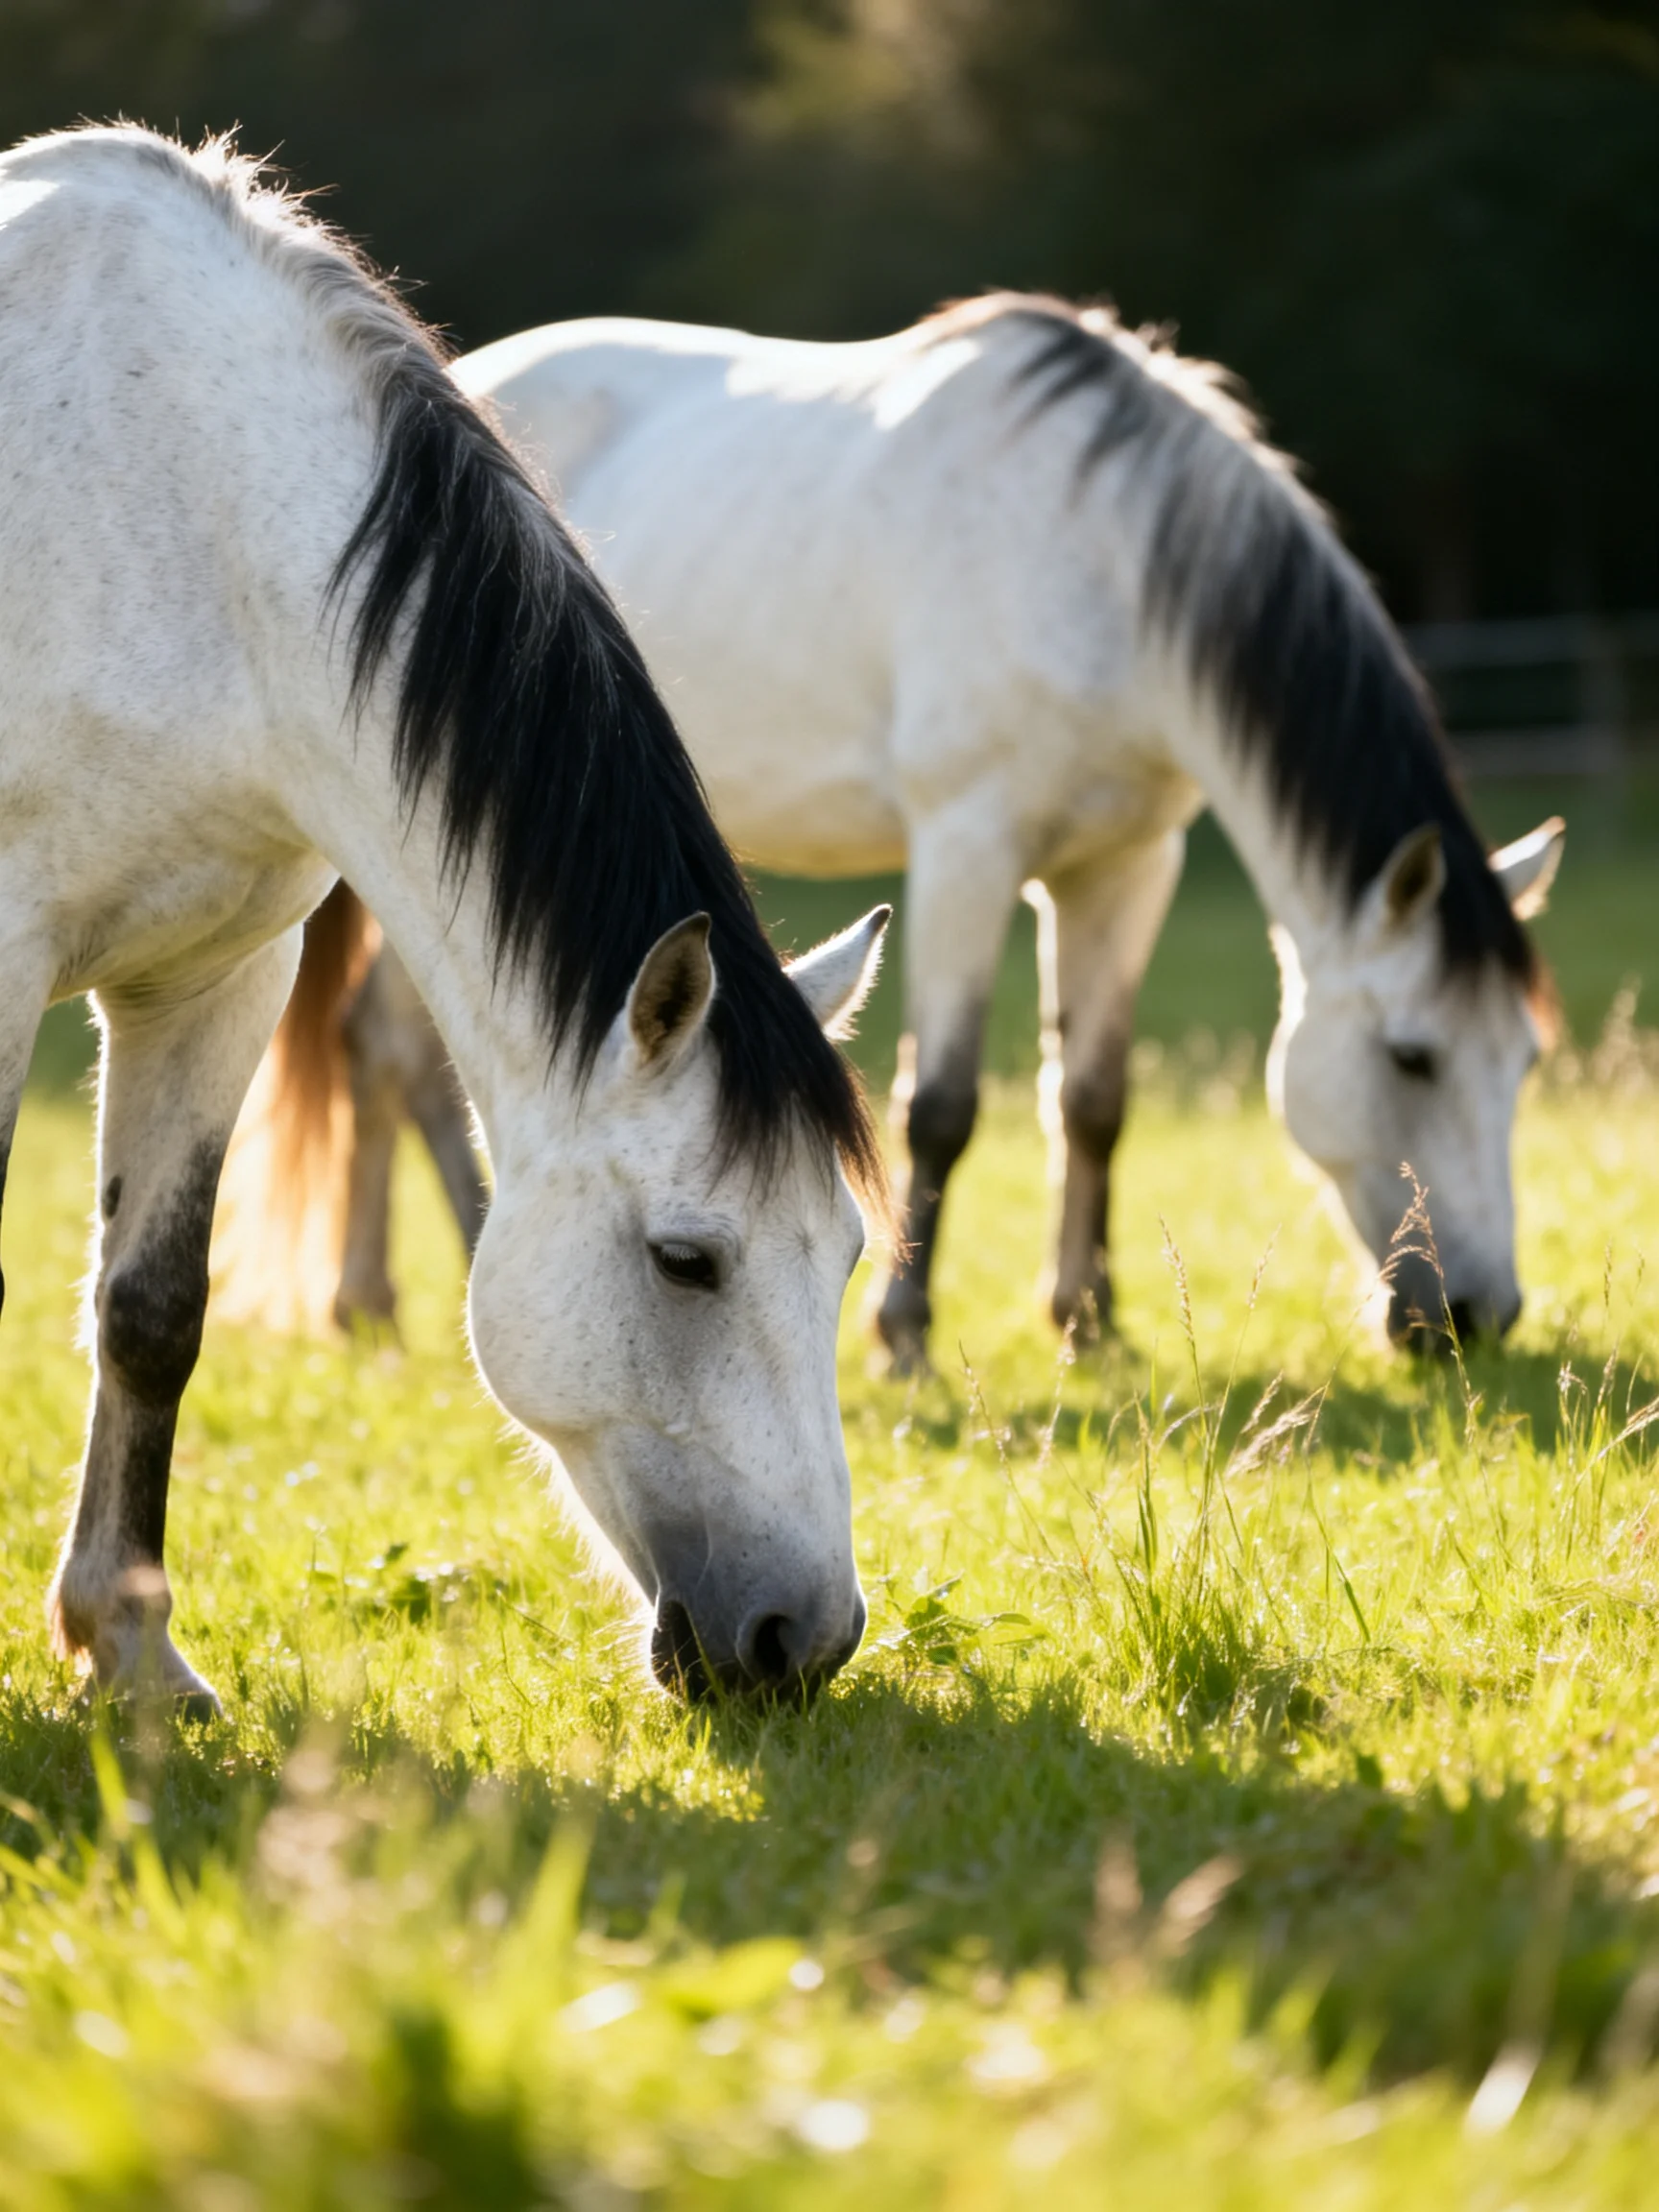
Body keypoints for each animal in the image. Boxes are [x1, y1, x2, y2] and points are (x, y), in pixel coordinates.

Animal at [0, 125, 890, 1711]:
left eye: (845, 1254)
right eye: (687, 1260)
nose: (806, 1641)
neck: (177, 498)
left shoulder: (213, 981)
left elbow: (152, 1312)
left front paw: (135, 1652)